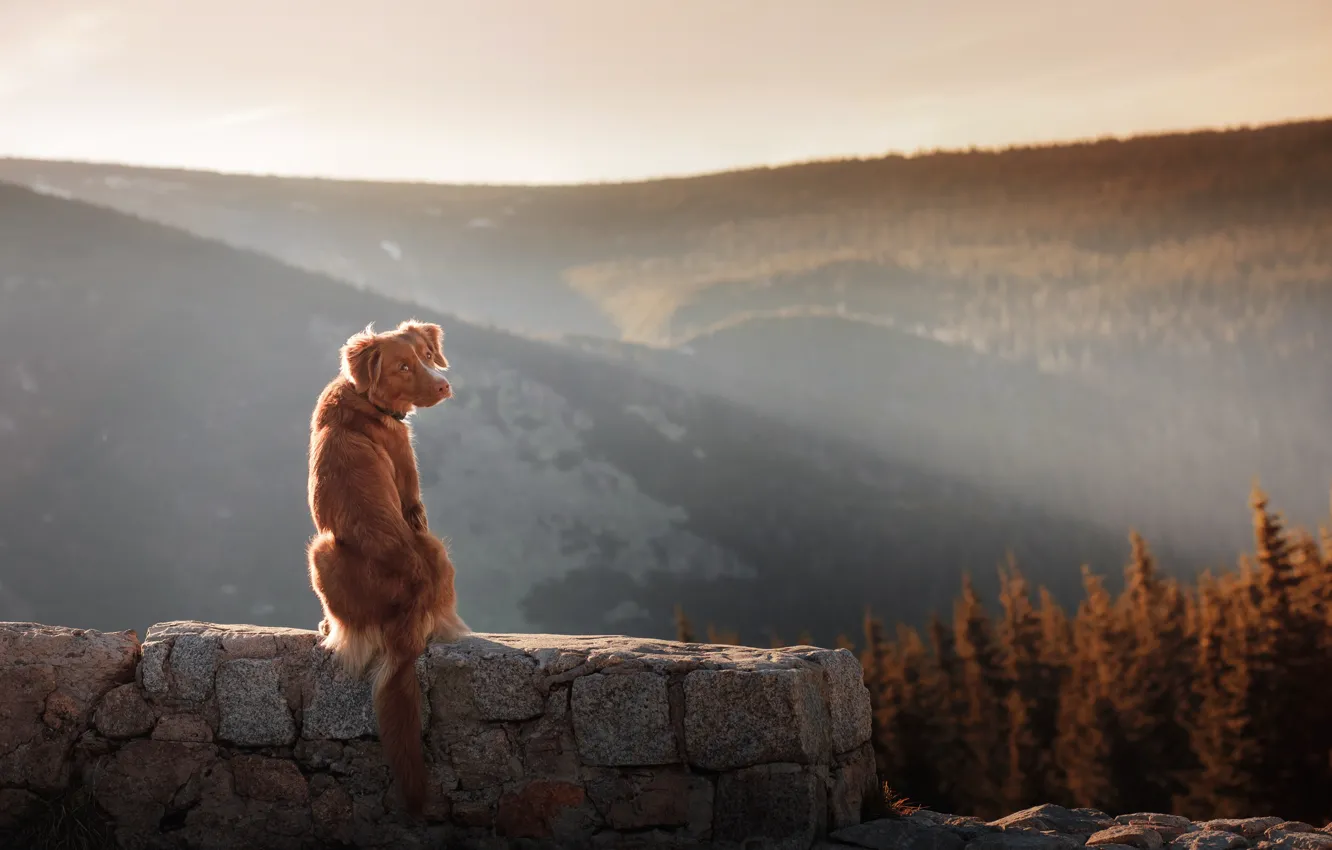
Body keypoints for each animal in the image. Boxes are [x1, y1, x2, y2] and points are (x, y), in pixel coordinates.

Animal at [305, 321, 471, 820]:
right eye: (402, 366)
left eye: (426, 357)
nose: (444, 386)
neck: (364, 398)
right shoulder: (413, 503)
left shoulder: (412, 497)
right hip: (435, 550)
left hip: (321, 549)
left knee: (352, 628)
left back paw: (328, 627)